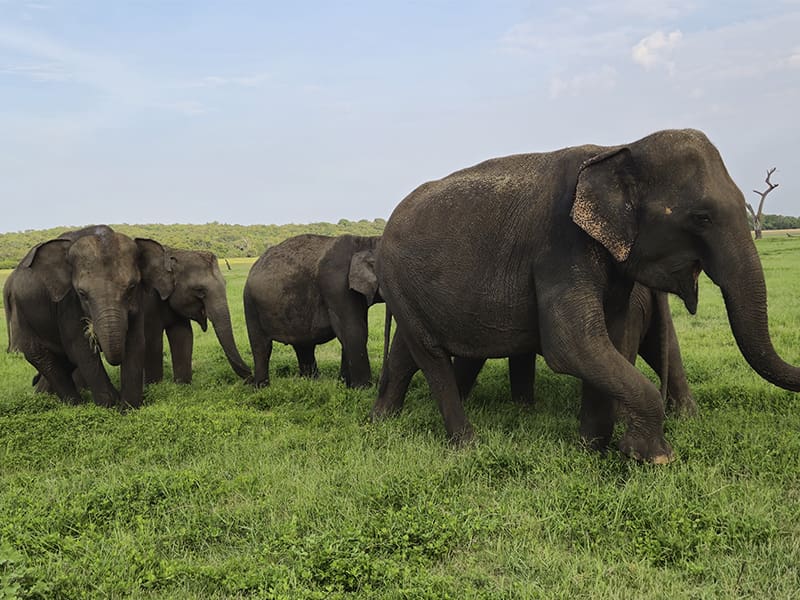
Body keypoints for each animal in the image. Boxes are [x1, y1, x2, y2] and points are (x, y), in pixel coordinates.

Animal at [4, 225, 172, 408]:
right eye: (82, 293)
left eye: (132, 287)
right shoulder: (67, 302)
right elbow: (80, 347)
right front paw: (109, 405)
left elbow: (136, 342)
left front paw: (128, 408)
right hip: (20, 312)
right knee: (40, 355)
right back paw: (75, 405)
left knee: (62, 360)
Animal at [143, 248, 252, 384]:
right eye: (199, 290)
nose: (251, 374)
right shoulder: (148, 298)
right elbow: (152, 338)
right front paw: (155, 385)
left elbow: (183, 335)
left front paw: (182, 385)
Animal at [243, 234, 380, 388]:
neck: (365, 241)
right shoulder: (337, 285)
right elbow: (353, 330)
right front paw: (364, 389)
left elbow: (354, 330)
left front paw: (344, 385)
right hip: (250, 304)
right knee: (262, 347)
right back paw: (261, 388)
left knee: (304, 345)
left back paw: (309, 382)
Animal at [371, 129, 800, 463]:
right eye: (702, 217)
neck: (618, 149)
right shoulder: (560, 246)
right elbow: (571, 344)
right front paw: (653, 457)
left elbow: (612, 338)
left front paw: (591, 449)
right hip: (398, 280)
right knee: (431, 356)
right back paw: (466, 444)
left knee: (408, 352)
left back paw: (382, 419)